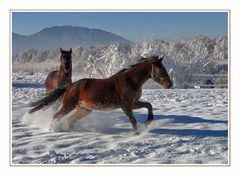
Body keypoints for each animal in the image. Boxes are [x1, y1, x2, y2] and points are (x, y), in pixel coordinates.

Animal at [29, 55, 172, 134]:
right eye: (160, 69)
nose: (169, 84)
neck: (131, 80)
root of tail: (71, 86)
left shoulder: (133, 103)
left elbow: (149, 105)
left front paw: (149, 121)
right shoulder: (125, 105)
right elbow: (133, 120)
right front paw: (137, 134)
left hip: (84, 110)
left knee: (69, 121)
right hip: (69, 106)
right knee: (56, 116)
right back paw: (51, 130)